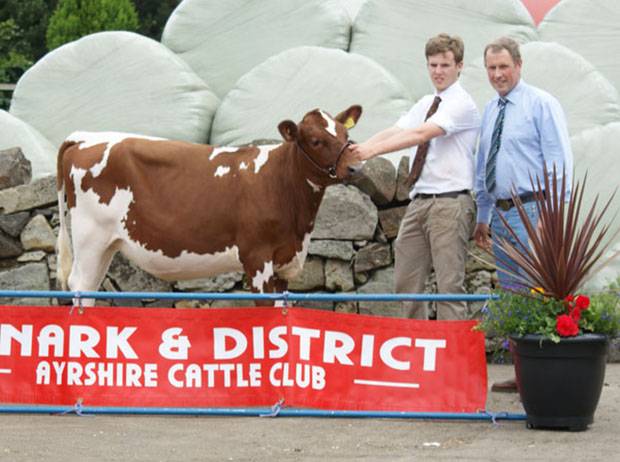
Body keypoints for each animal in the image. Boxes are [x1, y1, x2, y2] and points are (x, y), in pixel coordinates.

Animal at [56, 106, 364, 304]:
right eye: (315, 140)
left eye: (345, 136)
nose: (355, 167)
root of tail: (85, 137)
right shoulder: (257, 258)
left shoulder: (284, 263)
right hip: (89, 237)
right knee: (79, 287)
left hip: (106, 245)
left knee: (90, 291)